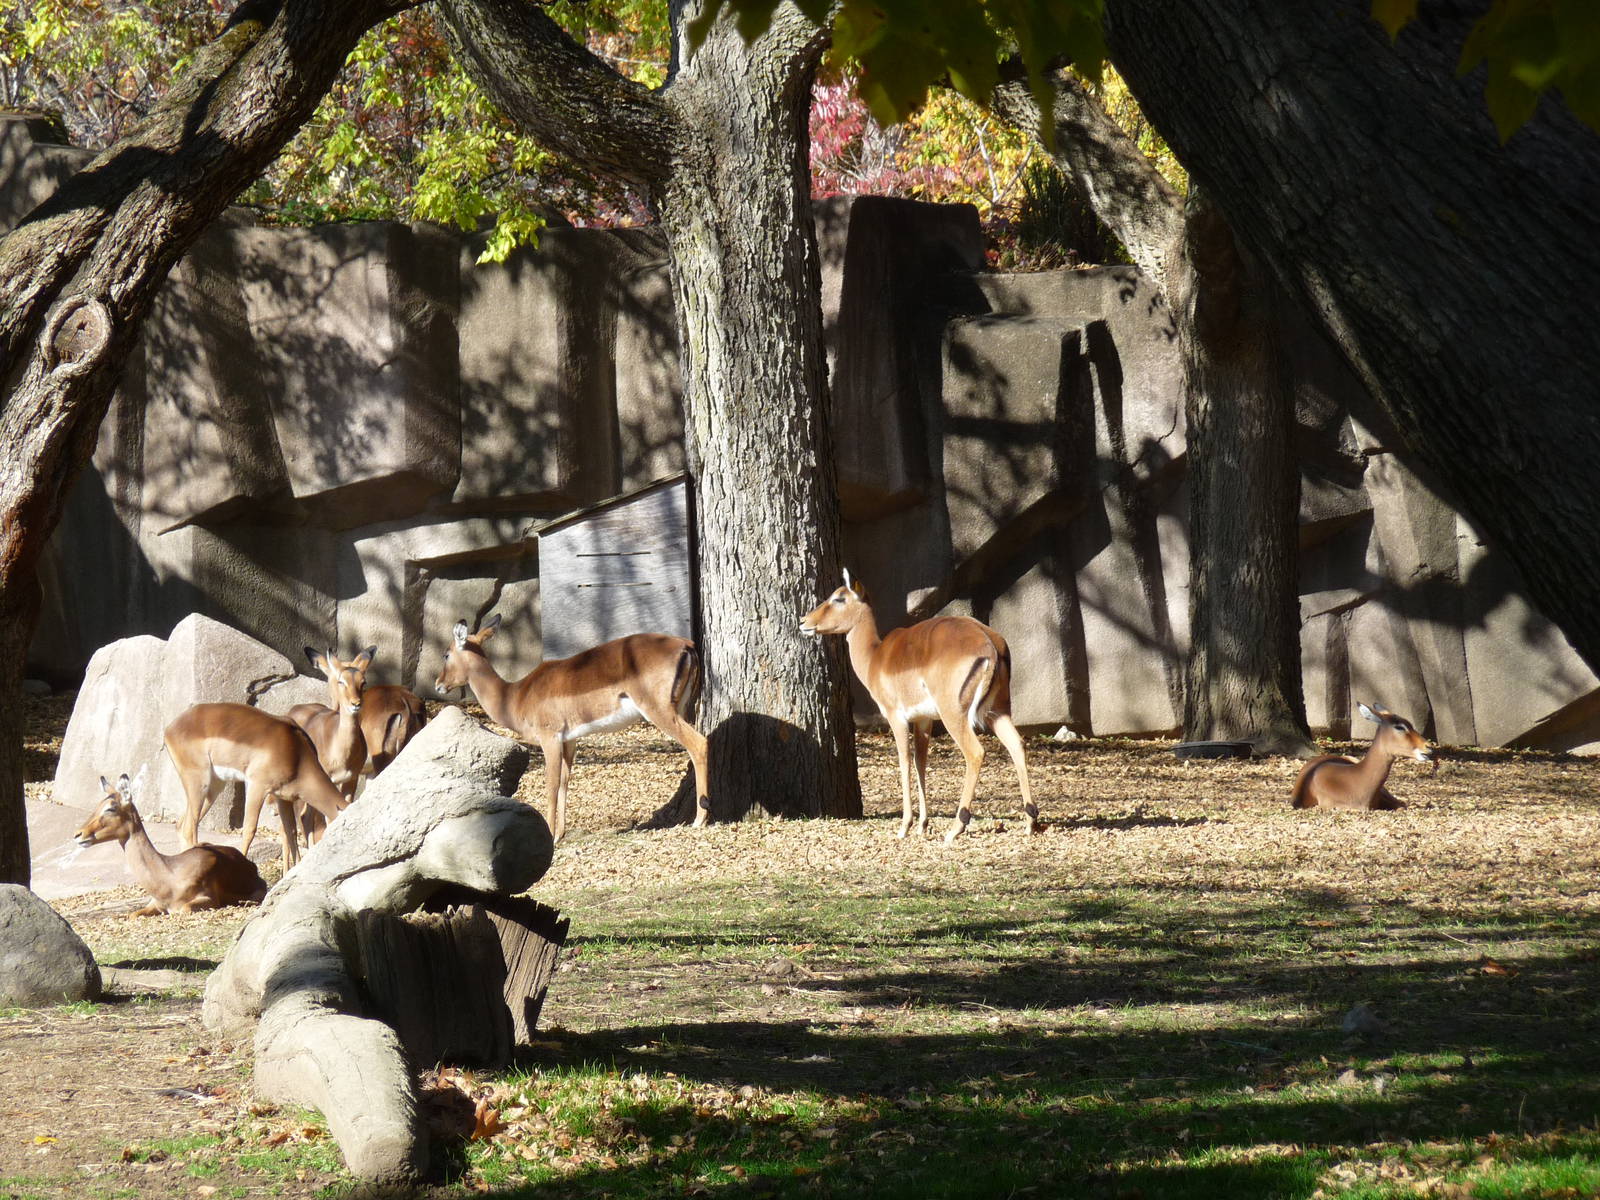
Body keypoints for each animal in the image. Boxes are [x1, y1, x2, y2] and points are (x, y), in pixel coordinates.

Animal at [75, 774, 267, 915]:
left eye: (111, 808)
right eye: (98, 805)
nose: (78, 834)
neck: (169, 878)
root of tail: (249, 864)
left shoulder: (207, 899)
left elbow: (184, 908)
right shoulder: (154, 904)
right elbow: (133, 914)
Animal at [167, 701, 348, 869]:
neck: (296, 753)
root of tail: (171, 727)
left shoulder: (282, 797)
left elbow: (290, 831)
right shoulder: (257, 787)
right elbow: (249, 830)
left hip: (213, 788)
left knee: (181, 825)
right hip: (199, 783)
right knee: (188, 829)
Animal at [433, 613, 709, 842]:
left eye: (446, 653)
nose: (438, 684)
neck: (516, 695)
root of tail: (686, 645)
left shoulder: (550, 738)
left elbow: (551, 784)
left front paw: (550, 835)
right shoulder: (570, 739)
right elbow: (566, 781)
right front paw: (560, 835)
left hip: (659, 711)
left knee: (699, 744)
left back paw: (699, 819)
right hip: (681, 707)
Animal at [800, 570, 1037, 843]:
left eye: (839, 597)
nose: (804, 620)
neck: (875, 657)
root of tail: (990, 643)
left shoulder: (896, 717)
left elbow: (903, 761)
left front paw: (905, 826)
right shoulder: (924, 719)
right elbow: (920, 762)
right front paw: (923, 824)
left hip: (955, 715)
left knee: (976, 753)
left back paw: (956, 827)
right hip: (997, 712)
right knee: (1017, 744)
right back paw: (1030, 821)